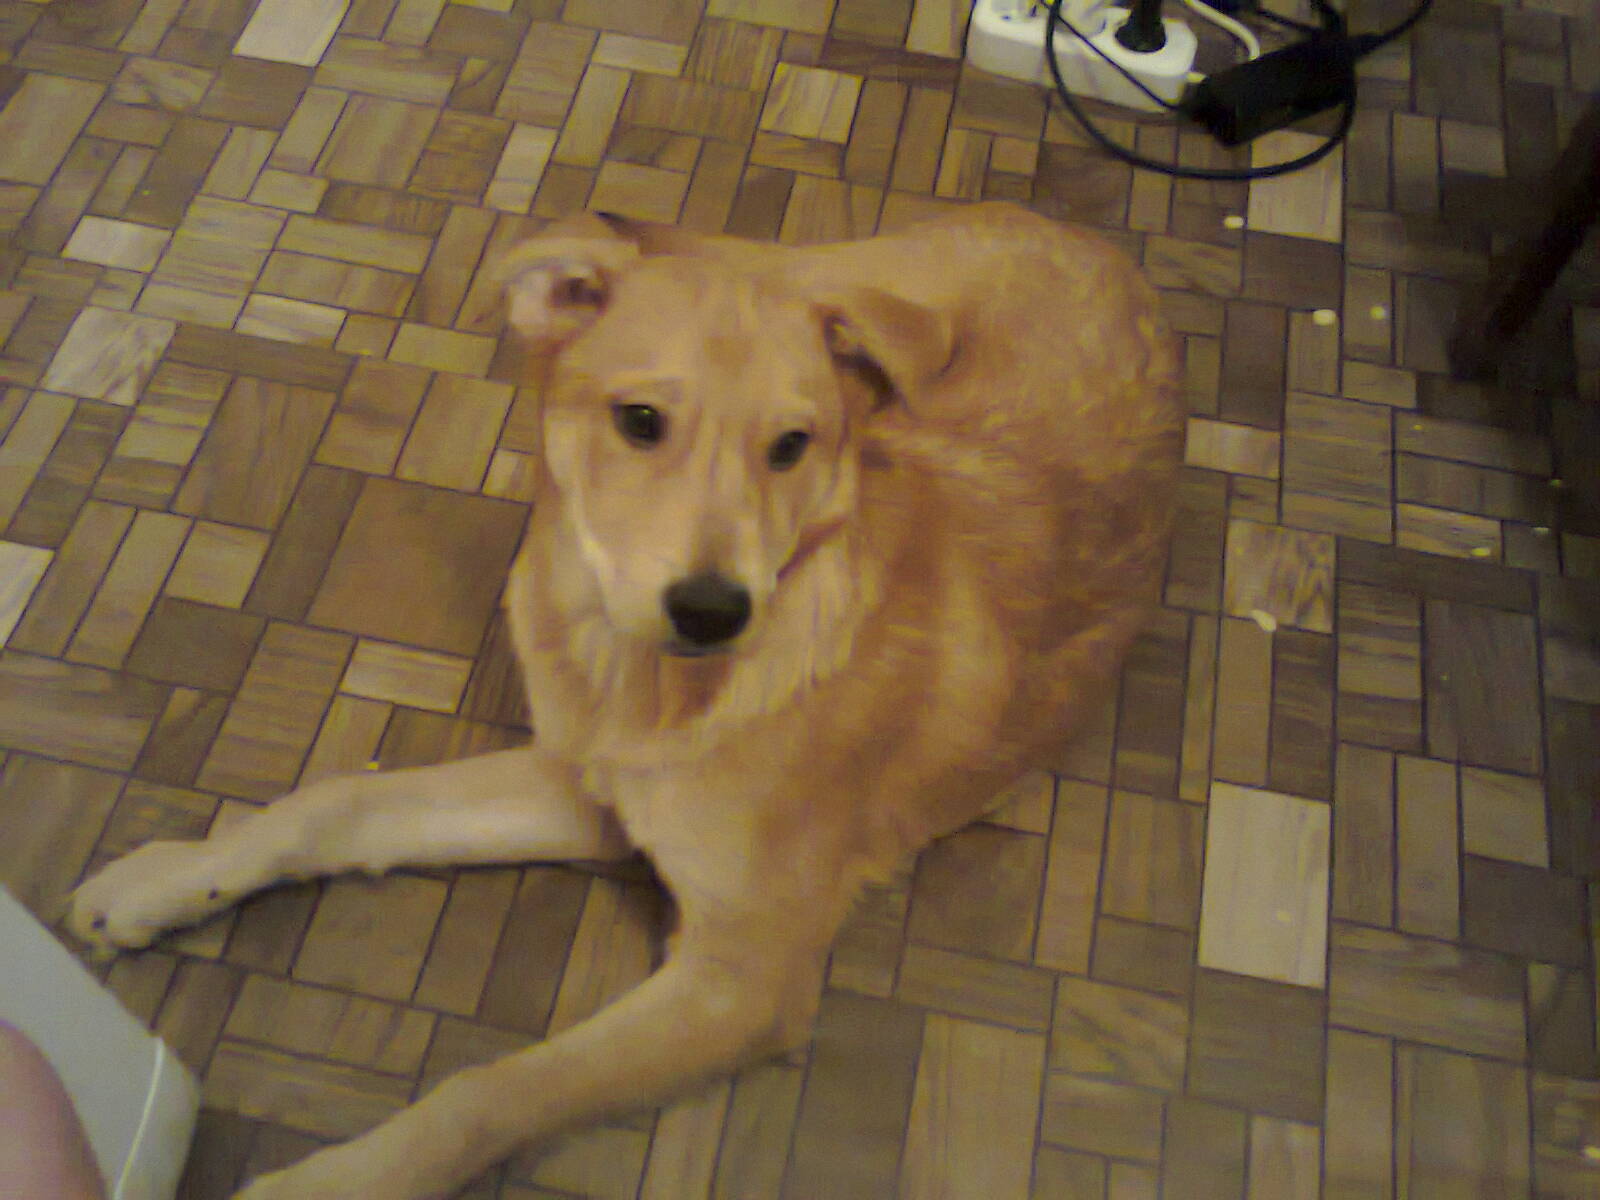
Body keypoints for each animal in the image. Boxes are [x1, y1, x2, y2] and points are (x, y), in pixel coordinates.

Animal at [68, 201, 1182, 1199]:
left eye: (792, 446)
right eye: (640, 421)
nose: (712, 610)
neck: (633, 676)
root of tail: (1096, 244)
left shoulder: (743, 977)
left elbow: (495, 1090)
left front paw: (340, 1183)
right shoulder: (582, 786)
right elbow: (341, 802)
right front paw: (172, 878)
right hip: (844, 276)